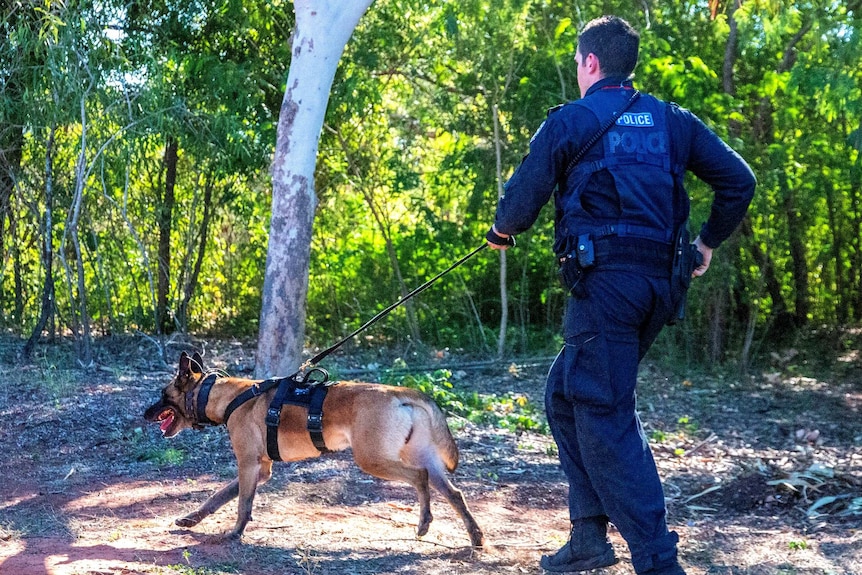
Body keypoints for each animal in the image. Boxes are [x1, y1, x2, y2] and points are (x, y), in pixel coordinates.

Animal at [145, 352, 490, 548]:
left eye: (163, 394)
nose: (144, 413)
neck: (226, 397)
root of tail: (404, 393)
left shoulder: (248, 465)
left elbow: (242, 503)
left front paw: (235, 533)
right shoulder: (260, 468)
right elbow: (218, 497)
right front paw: (192, 520)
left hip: (374, 460)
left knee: (419, 479)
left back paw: (425, 523)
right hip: (421, 458)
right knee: (455, 494)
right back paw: (475, 537)